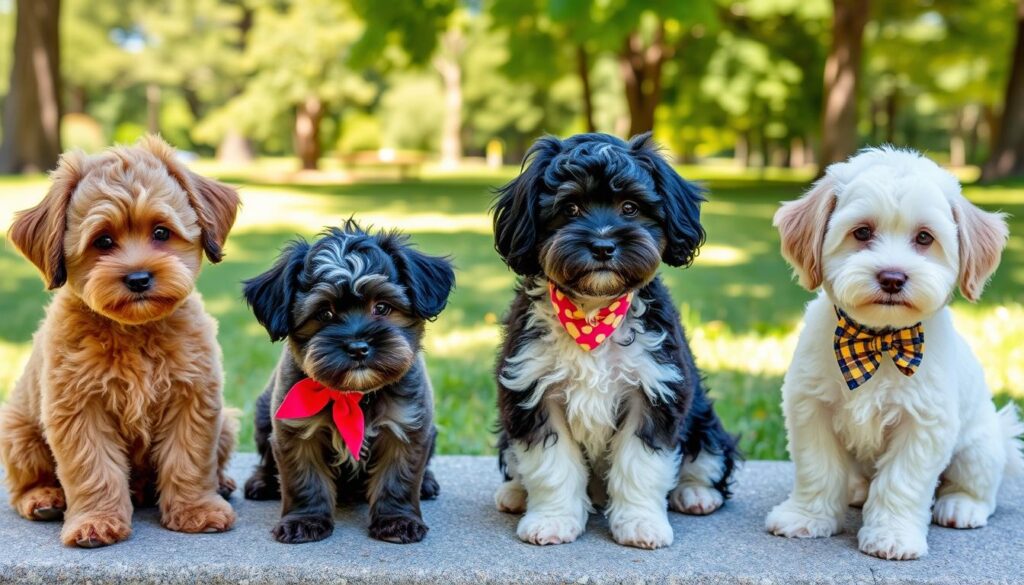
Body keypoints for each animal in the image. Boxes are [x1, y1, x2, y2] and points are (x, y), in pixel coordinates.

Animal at [1, 137, 241, 549]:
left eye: (161, 233)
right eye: (103, 241)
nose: (139, 278)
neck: (135, 331)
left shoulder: (192, 400)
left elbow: (189, 459)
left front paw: (196, 510)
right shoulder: (79, 409)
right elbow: (93, 468)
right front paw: (96, 521)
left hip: (224, 422)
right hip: (18, 434)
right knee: (25, 483)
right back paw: (44, 498)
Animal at [241, 222, 454, 549]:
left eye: (382, 307)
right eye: (324, 313)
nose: (357, 347)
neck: (355, 396)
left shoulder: (407, 427)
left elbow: (398, 478)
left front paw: (397, 521)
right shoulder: (295, 431)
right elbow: (304, 479)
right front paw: (304, 521)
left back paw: (428, 483)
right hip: (264, 413)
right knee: (266, 457)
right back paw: (262, 482)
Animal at [493, 131, 737, 549]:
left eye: (629, 207)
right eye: (570, 208)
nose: (604, 246)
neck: (593, 312)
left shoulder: (654, 390)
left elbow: (640, 465)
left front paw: (640, 523)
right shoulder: (533, 389)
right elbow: (552, 466)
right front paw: (552, 520)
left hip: (704, 422)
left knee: (707, 460)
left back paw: (696, 493)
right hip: (508, 436)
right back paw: (514, 493)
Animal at [770, 145, 1024, 557]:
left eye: (924, 238)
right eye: (862, 232)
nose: (892, 277)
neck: (879, 342)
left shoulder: (923, 424)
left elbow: (901, 482)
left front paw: (892, 534)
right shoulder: (811, 409)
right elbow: (817, 468)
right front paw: (806, 517)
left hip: (979, 446)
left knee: (978, 485)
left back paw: (961, 505)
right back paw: (856, 491)